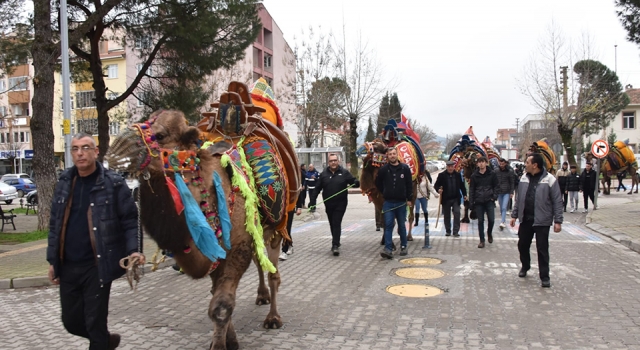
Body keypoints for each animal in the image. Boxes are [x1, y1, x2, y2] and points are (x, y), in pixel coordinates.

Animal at [107, 80, 300, 350]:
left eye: (160, 135)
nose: (116, 150)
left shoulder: (236, 249)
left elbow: (221, 307)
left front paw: (223, 343)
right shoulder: (216, 251)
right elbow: (215, 298)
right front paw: (230, 339)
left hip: (275, 227)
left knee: (272, 271)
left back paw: (273, 318)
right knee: (260, 262)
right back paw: (261, 296)